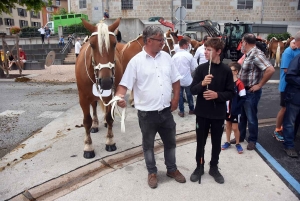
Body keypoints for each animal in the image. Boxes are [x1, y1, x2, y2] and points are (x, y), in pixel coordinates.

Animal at [75, 17, 122, 159]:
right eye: (92, 45)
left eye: (114, 44)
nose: (106, 82)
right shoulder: (83, 98)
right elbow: (86, 121)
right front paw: (88, 146)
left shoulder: (110, 95)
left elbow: (109, 117)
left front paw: (110, 140)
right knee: (94, 107)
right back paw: (95, 124)